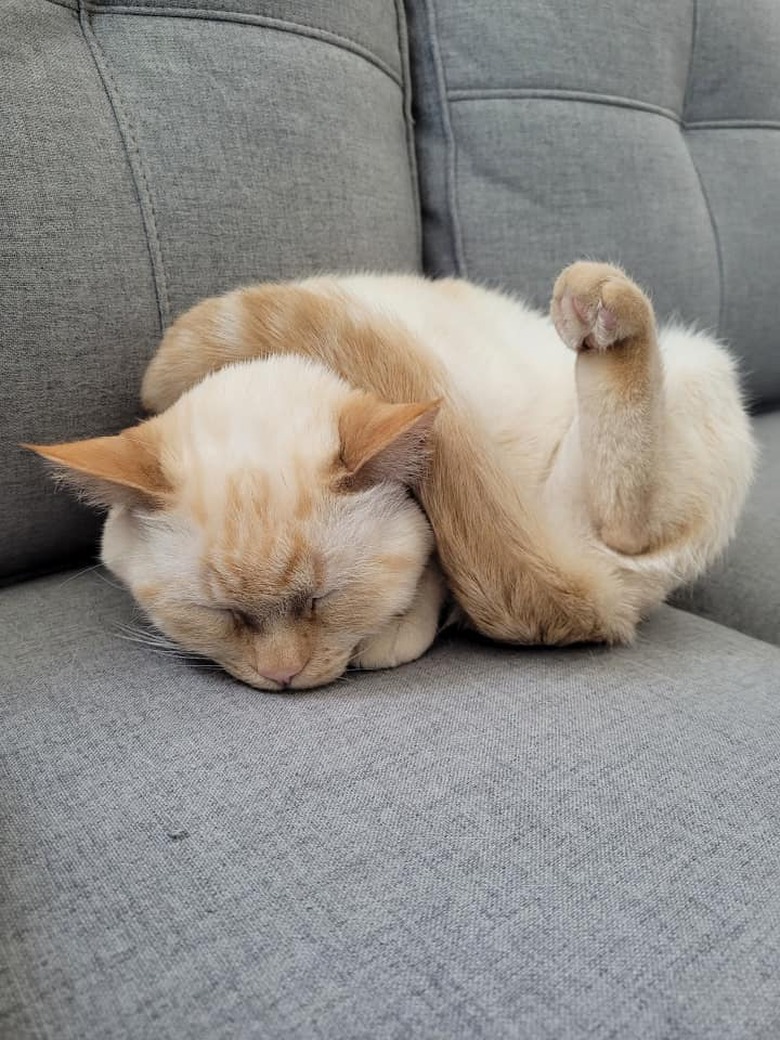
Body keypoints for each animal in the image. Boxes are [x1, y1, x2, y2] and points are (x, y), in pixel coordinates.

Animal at [30, 260, 757, 686]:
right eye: (222, 615)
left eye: (322, 601)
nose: (283, 677)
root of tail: (615, 604)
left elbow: (431, 568)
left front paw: (391, 632)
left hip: (693, 374)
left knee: (627, 517)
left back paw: (601, 309)